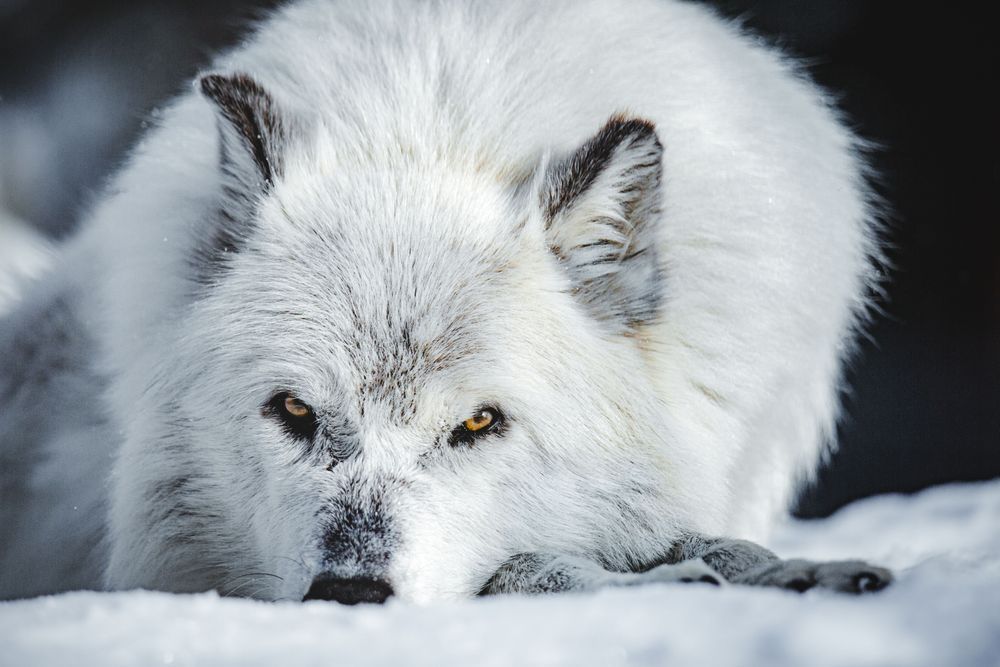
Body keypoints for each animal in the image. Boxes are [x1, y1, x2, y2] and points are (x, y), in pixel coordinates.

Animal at [0, 0, 889, 603]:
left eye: (479, 422)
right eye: (294, 410)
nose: (351, 593)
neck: (435, 130)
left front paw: (789, 568)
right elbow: (528, 565)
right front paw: (642, 580)